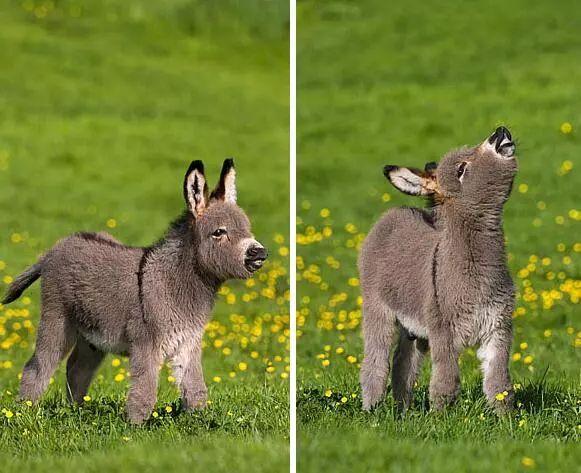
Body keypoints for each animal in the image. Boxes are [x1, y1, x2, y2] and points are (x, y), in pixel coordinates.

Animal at [2, 159, 268, 424]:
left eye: (247, 229)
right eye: (219, 232)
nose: (260, 253)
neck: (174, 282)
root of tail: (54, 249)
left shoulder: (188, 343)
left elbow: (195, 390)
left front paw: (199, 422)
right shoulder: (146, 344)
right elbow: (144, 392)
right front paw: (135, 427)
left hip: (93, 336)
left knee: (77, 369)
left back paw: (77, 411)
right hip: (56, 319)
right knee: (38, 367)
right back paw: (24, 412)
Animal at [360, 127, 520, 412]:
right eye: (461, 169)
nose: (500, 131)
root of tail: (394, 212)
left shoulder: (498, 329)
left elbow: (499, 384)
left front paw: (508, 419)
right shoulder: (444, 333)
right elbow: (446, 382)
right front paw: (440, 417)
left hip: (414, 328)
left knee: (403, 364)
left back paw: (402, 411)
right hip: (377, 308)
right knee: (376, 361)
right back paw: (370, 409)